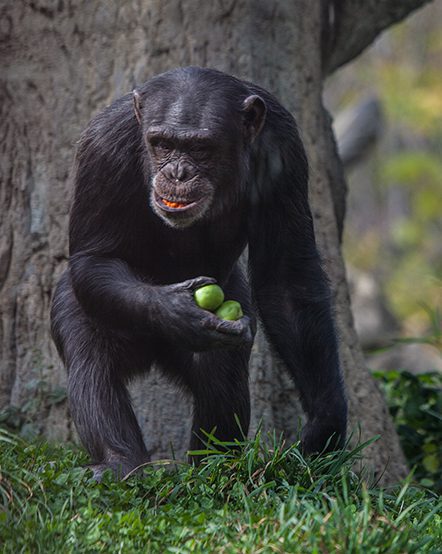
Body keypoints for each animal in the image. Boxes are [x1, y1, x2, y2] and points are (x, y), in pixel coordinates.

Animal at [51, 67, 348, 476]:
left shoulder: (285, 146)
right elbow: (94, 257)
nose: (177, 171)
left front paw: (325, 422)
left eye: (201, 148)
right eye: (161, 144)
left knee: (219, 367)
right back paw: (120, 462)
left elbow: (286, 276)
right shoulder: (103, 147)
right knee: (92, 359)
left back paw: (212, 466)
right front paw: (173, 310)